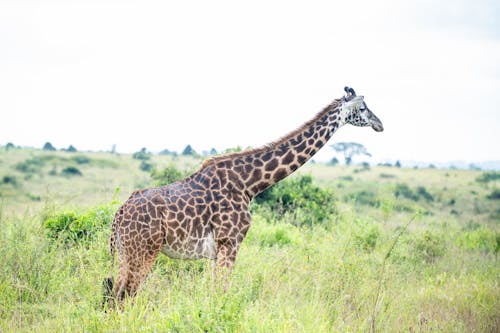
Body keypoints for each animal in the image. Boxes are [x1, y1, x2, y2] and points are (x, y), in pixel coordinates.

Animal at [101, 86, 382, 306]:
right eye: (363, 107)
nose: (380, 124)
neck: (249, 184)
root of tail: (119, 213)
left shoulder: (218, 251)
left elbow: (215, 293)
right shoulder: (230, 242)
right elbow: (223, 293)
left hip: (126, 251)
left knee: (115, 294)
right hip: (143, 250)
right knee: (124, 295)